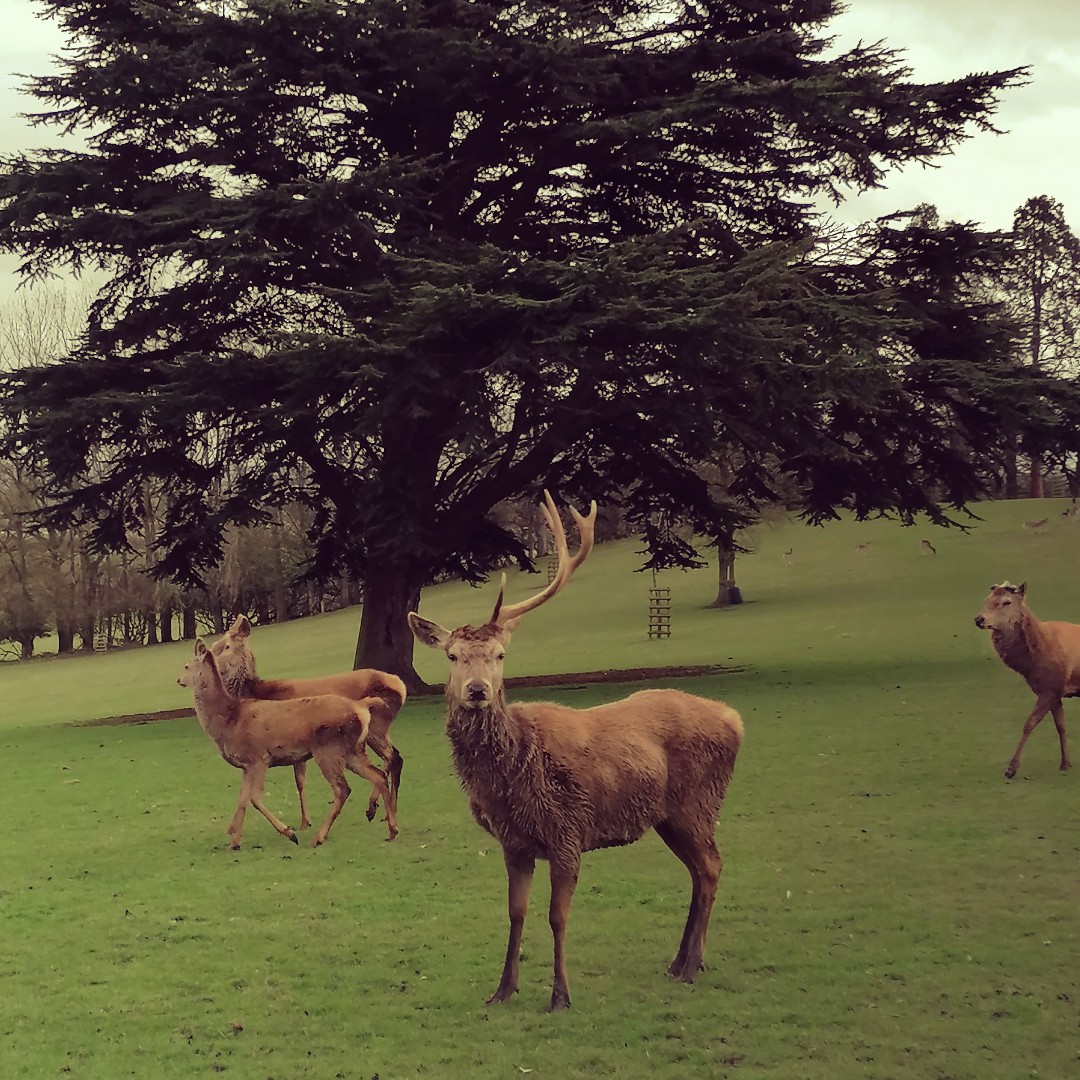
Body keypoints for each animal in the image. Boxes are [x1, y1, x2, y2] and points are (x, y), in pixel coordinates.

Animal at [178, 639, 399, 848]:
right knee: (378, 775)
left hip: (329, 749)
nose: (178, 679)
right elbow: (242, 799)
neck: (229, 721)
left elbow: (254, 798)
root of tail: (361, 706)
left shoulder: (259, 757)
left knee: (342, 789)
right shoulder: (246, 765)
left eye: (187, 666)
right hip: (353, 750)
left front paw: (290, 833)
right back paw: (391, 829)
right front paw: (234, 843)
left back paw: (318, 838)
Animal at [208, 615, 406, 824]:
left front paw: (304, 822)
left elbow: (299, 779)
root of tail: (401, 685)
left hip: (377, 726)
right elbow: (300, 780)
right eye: (215, 644)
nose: (209, 659)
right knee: (395, 757)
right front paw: (305, 821)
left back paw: (374, 808)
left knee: (391, 757)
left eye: (226, 646)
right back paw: (389, 811)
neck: (257, 693)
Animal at [408, 492, 743, 1011]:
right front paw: (502, 990)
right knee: (698, 870)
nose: (478, 691)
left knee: (711, 866)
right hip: (669, 816)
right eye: (451, 656)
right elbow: (516, 913)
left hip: (698, 803)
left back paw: (690, 967)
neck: (509, 779)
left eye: (500, 655)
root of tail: (735, 720)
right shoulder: (514, 842)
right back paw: (680, 963)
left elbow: (556, 916)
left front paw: (560, 996)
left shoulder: (568, 831)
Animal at [974, 581, 1080, 780]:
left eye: (1006, 602)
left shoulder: (1050, 689)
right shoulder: (1054, 691)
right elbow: (1060, 726)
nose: (979, 619)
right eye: (987, 599)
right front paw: (1065, 763)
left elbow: (1028, 724)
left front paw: (1011, 769)